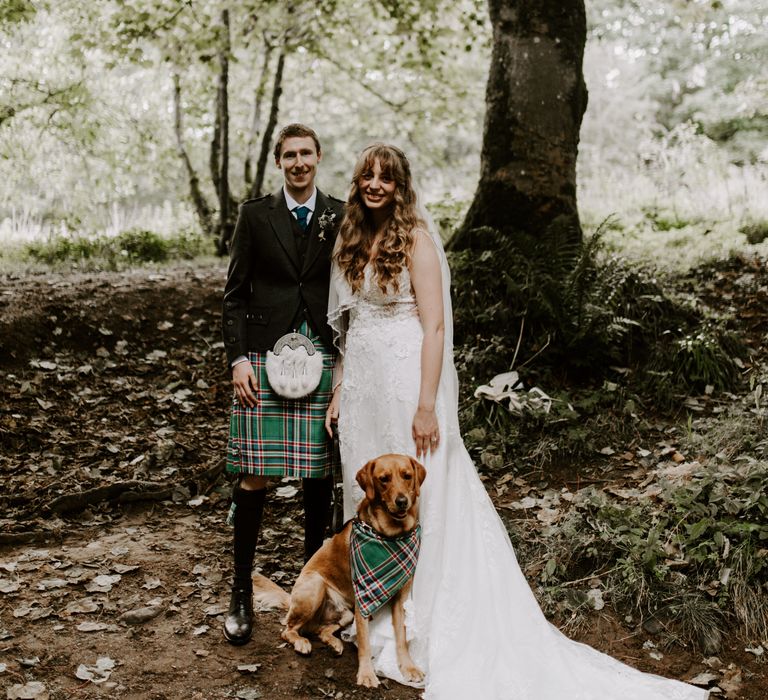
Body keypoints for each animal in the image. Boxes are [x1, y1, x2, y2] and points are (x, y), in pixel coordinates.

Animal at [280, 452, 426, 688]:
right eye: (384, 479)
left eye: (407, 476)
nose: (402, 502)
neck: (390, 535)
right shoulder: (363, 599)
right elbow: (365, 641)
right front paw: (367, 674)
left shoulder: (401, 597)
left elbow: (402, 635)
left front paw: (408, 667)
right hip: (315, 587)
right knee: (288, 629)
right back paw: (301, 642)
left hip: (345, 614)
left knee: (320, 630)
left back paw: (334, 643)